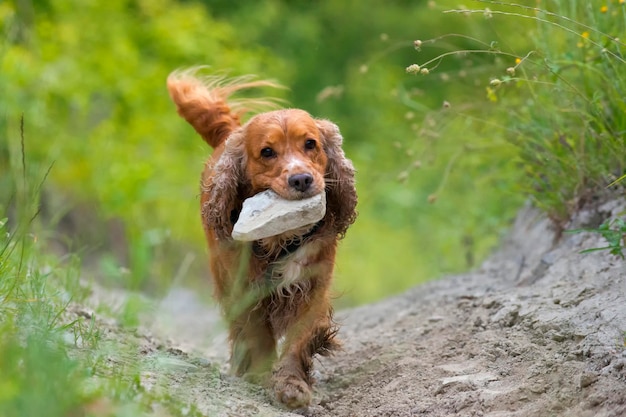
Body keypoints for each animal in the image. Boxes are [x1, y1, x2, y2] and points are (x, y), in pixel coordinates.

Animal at [166, 70, 356, 408]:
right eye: (267, 152)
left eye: (311, 144)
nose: (302, 179)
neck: (282, 239)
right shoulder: (245, 289)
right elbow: (258, 334)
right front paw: (262, 374)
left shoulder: (313, 287)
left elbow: (298, 340)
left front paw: (292, 384)